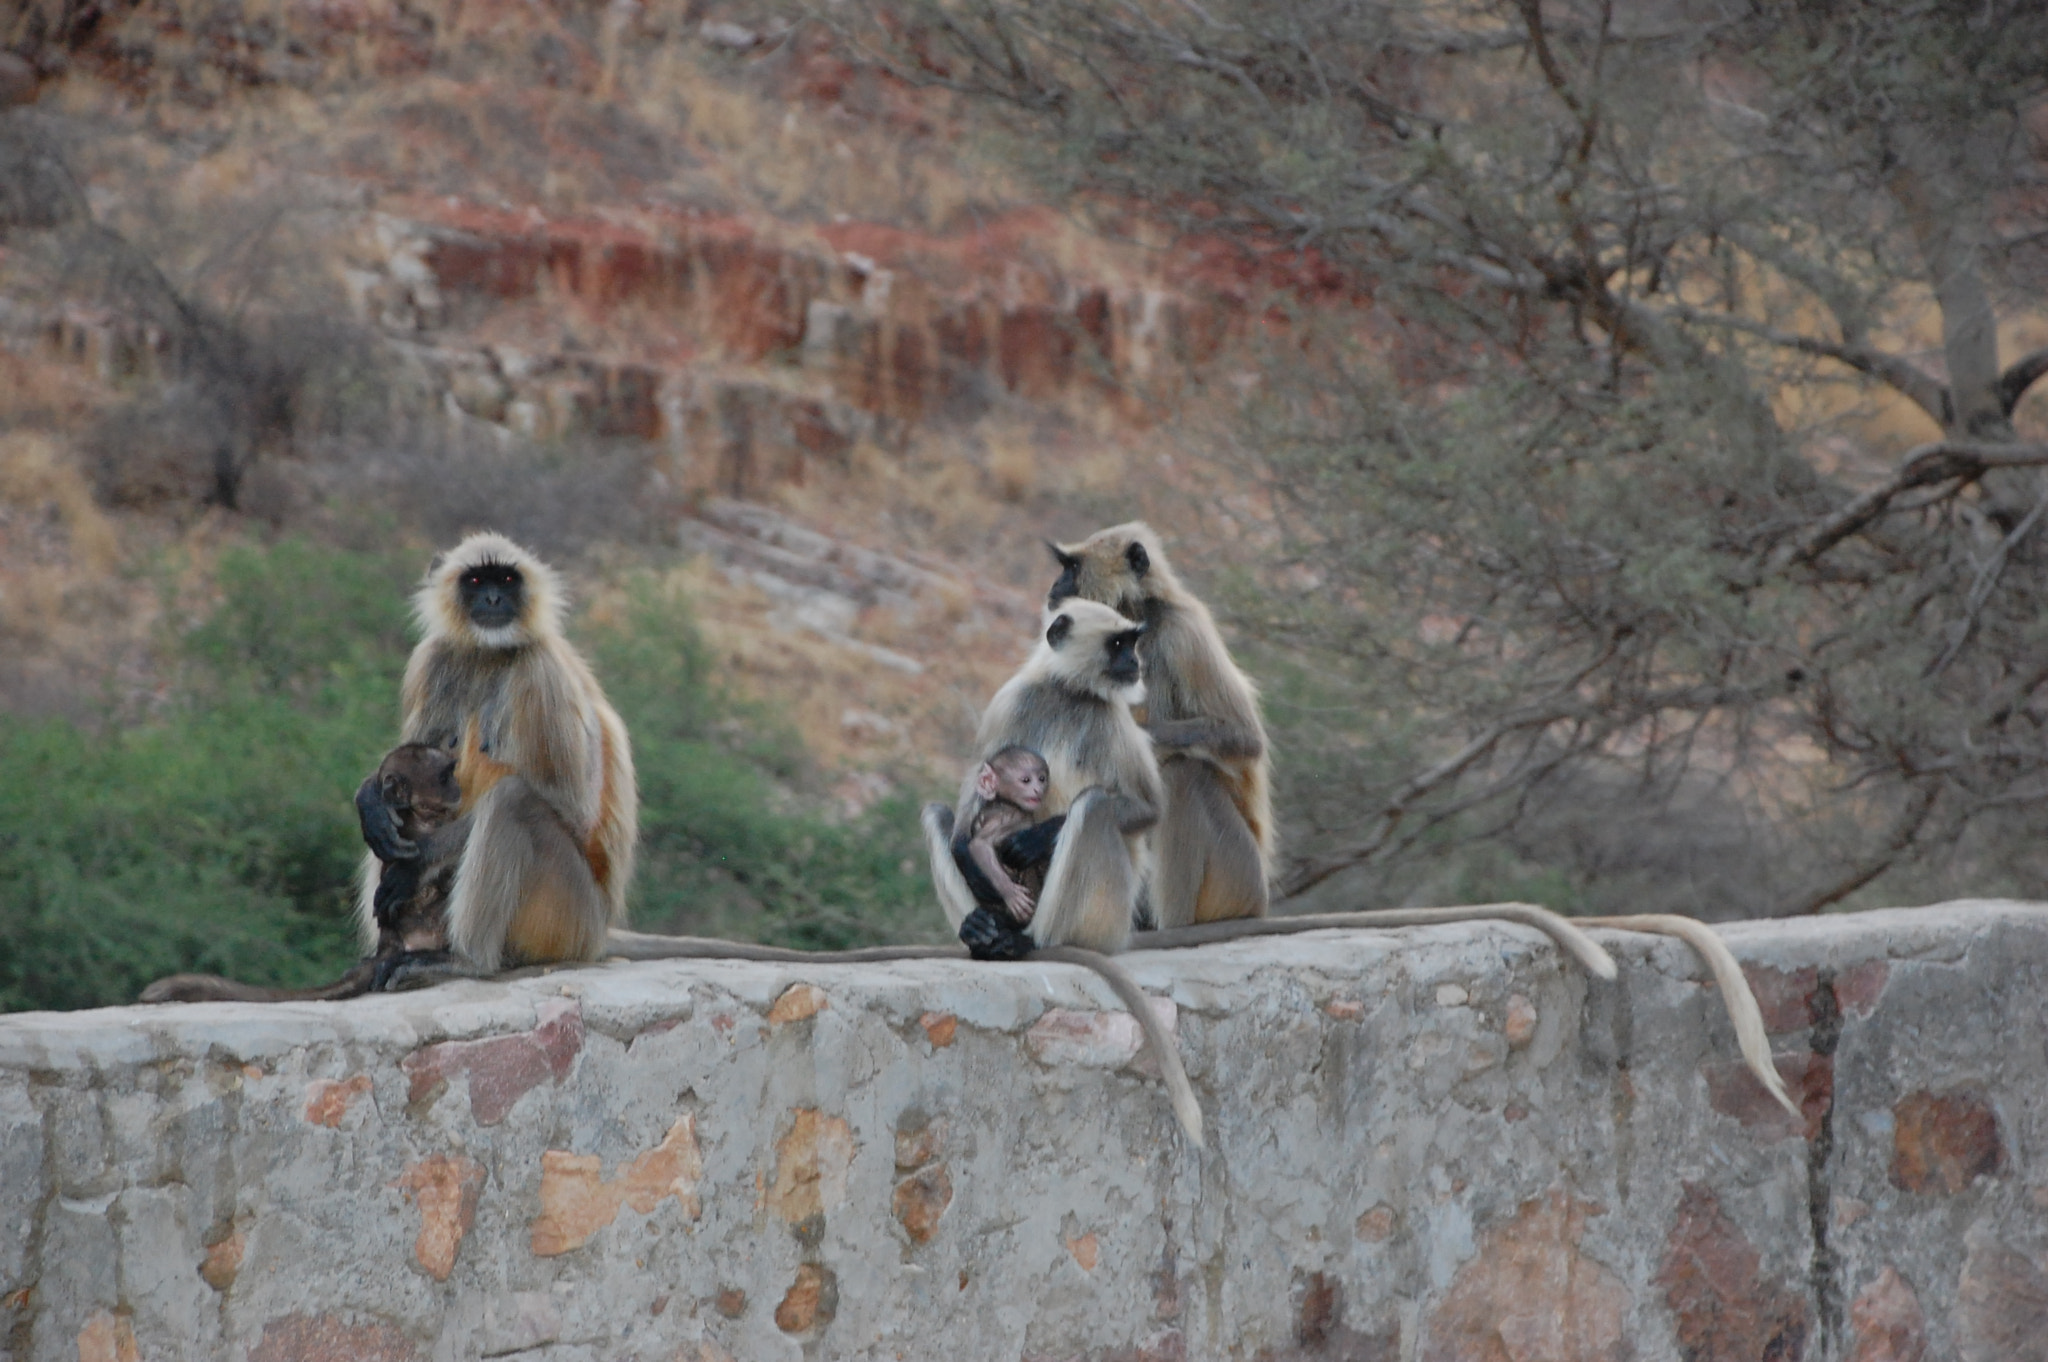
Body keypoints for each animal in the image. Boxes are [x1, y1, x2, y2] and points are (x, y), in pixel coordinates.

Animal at [1047, 522, 1271, 927]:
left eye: (1071, 568)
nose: (1055, 586)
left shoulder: (1184, 632)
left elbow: (1246, 738)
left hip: (1239, 880)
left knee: (1185, 774)